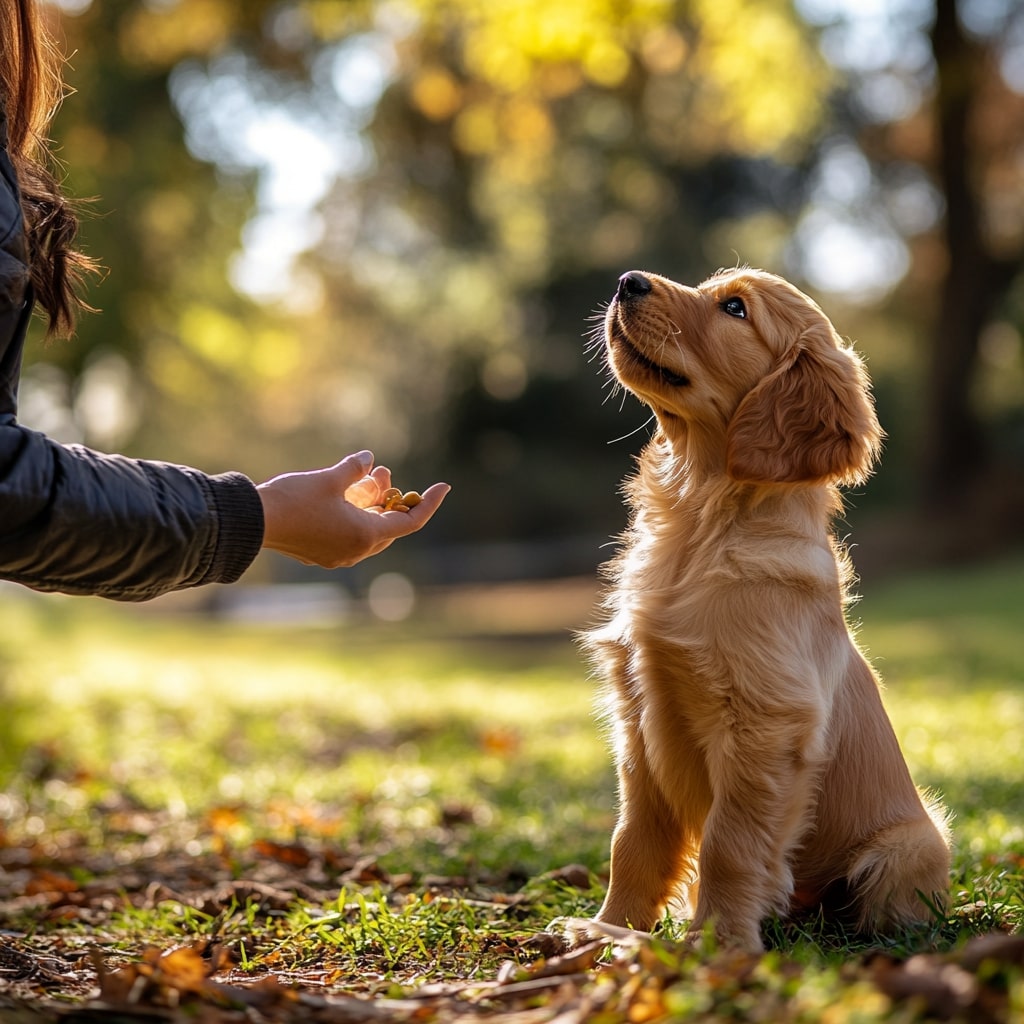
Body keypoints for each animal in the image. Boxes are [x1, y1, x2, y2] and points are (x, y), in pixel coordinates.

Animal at [585, 266, 950, 950]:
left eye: (735, 309)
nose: (626, 281)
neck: (699, 522)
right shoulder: (636, 718)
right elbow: (633, 840)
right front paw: (605, 930)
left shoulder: (765, 722)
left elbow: (728, 844)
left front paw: (716, 945)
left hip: (912, 845)